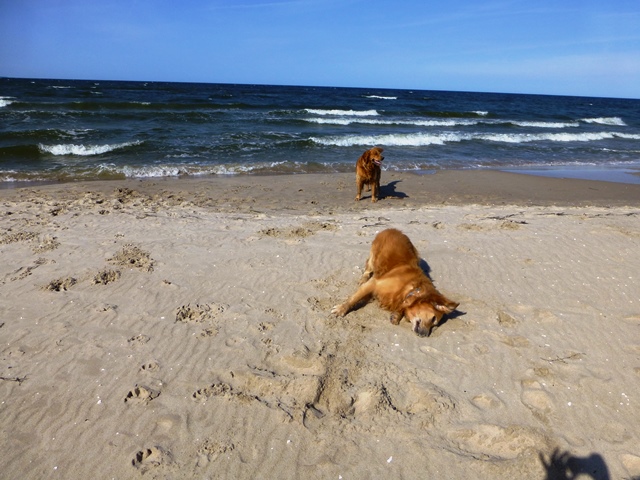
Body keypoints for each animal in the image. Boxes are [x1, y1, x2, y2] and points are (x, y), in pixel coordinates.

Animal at [330, 230, 460, 338]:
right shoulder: (374, 283)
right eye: (433, 319)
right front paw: (341, 308)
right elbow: (354, 298)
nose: (424, 335)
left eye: (435, 324)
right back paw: (363, 278)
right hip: (374, 256)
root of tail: (394, 229)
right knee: (368, 267)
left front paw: (396, 315)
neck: (409, 289)